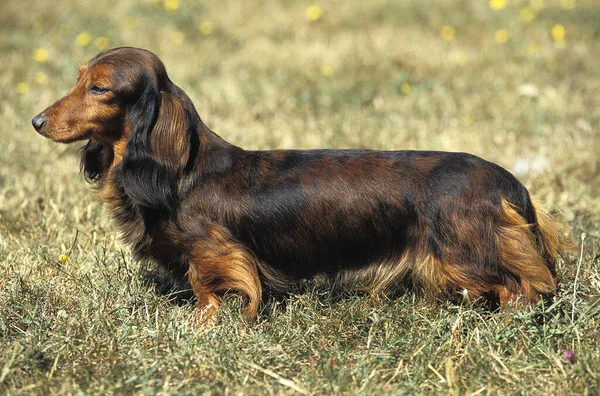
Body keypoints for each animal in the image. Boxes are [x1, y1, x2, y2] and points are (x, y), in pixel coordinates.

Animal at [34, 47, 572, 318]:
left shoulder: (216, 253)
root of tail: (511, 186)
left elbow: (211, 287)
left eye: (99, 88)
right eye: (78, 78)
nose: (36, 121)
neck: (181, 174)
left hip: (465, 252)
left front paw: (203, 324)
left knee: (522, 285)